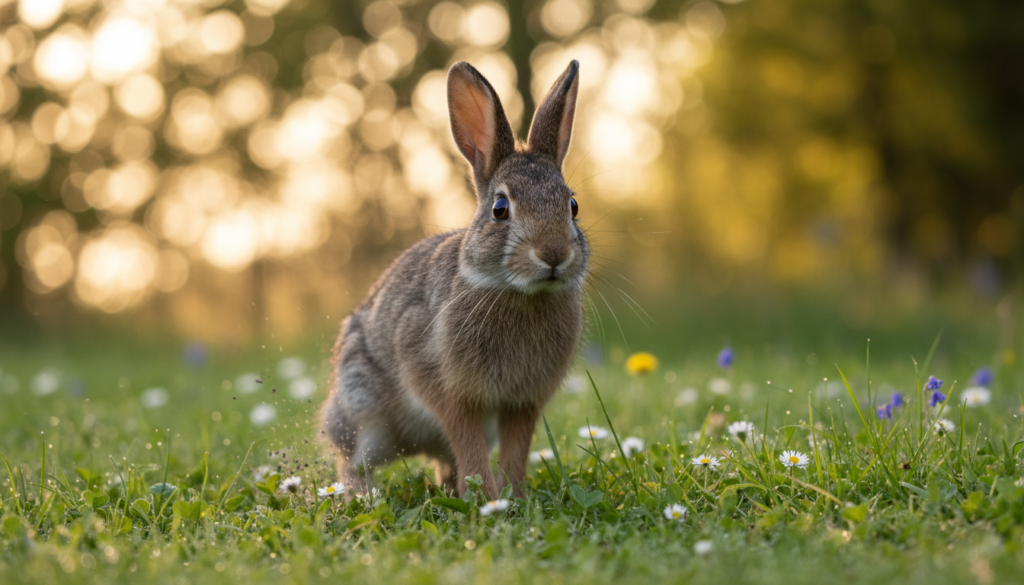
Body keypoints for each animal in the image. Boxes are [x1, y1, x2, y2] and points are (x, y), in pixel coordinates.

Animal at [320, 60, 587, 500]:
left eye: (573, 205)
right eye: (500, 209)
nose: (554, 255)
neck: (519, 293)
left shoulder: (523, 402)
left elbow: (515, 449)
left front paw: (512, 496)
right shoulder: (449, 389)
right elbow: (466, 438)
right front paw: (487, 498)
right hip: (365, 415)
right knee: (351, 460)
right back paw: (359, 495)